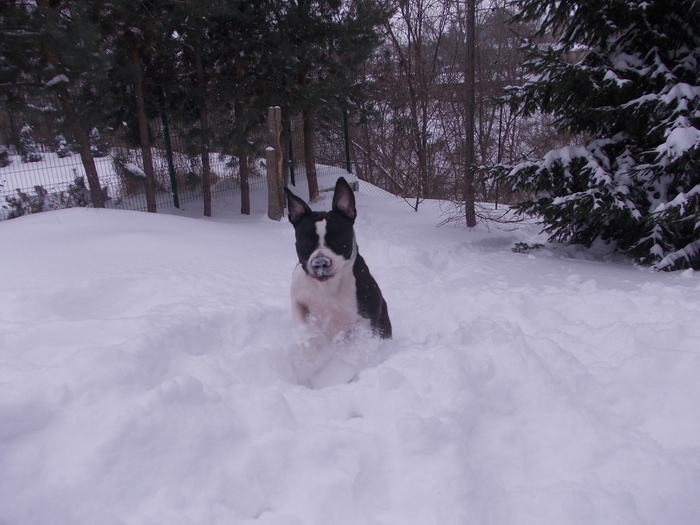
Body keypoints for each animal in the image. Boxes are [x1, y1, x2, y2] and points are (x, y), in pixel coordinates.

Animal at [284, 176, 394, 340]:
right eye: (305, 240)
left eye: (338, 238)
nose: (320, 263)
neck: (326, 287)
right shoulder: (298, 303)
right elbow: (306, 332)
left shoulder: (365, 319)